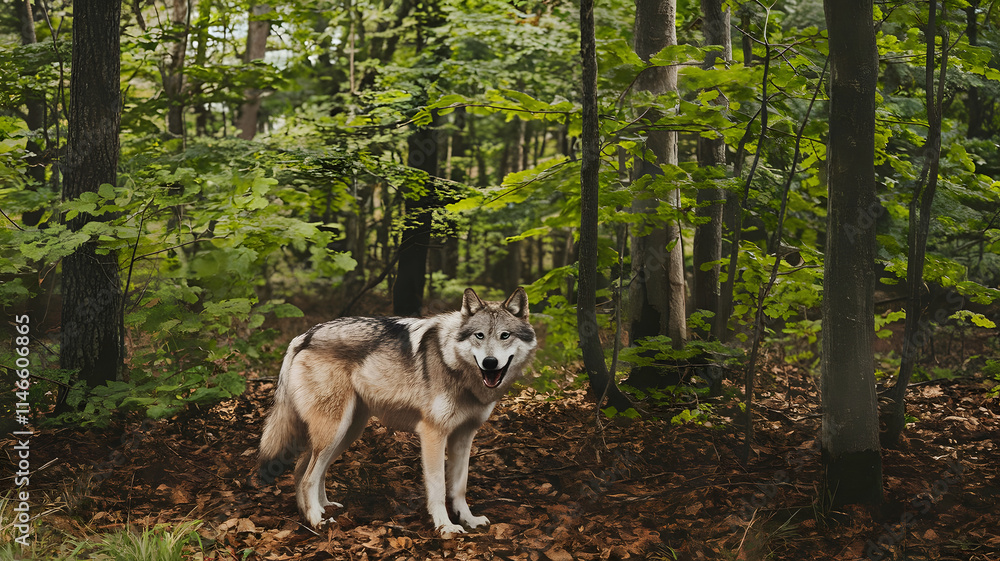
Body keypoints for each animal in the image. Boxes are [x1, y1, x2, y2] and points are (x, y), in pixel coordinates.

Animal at [258, 287, 536, 535]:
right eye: (479, 335)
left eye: (505, 335)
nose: (490, 363)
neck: (454, 365)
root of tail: (304, 336)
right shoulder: (433, 434)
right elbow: (438, 487)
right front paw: (445, 526)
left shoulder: (464, 436)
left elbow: (459, 486)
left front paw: (468, 520)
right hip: (334, 430)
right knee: (307, 476)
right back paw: (317, 520)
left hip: (346, 433)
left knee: (303, 469)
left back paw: (319, 510)